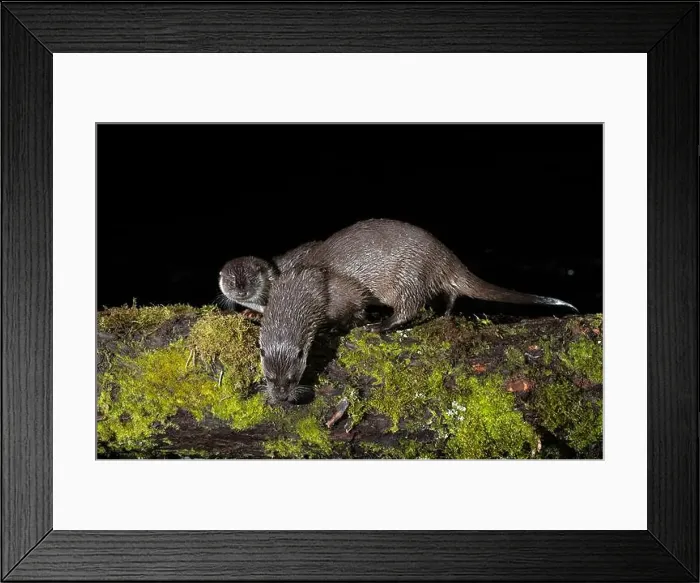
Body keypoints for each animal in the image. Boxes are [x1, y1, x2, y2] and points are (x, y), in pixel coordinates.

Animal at [302, 218, 577, 332]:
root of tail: (445, 257)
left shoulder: (343, 295)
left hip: (409, 275)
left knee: (408, 308)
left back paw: (380, 326)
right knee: (450, 295)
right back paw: (443, 313)